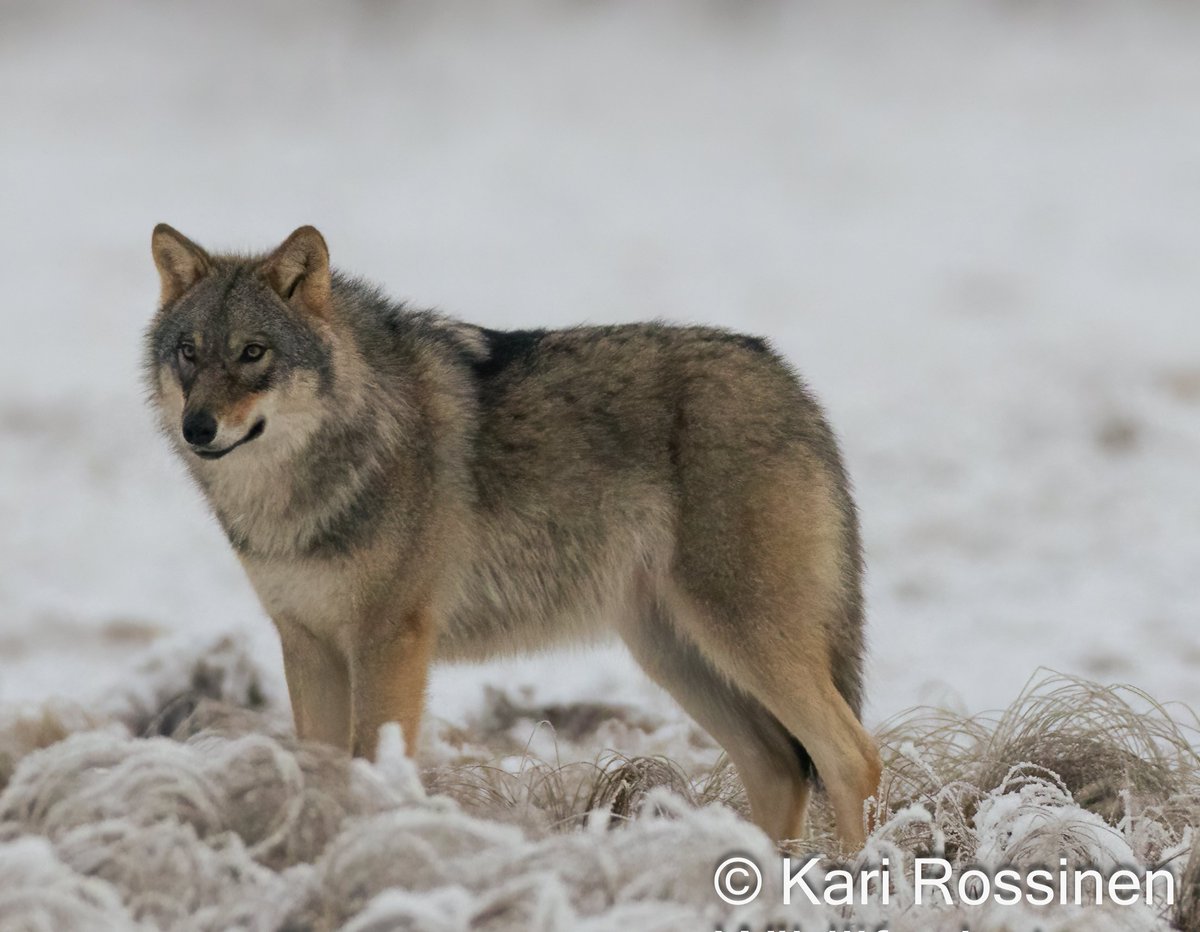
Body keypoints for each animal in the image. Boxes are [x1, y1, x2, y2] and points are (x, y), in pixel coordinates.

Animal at [147, 226, 883, 849]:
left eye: (253, 353)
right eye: (189, 353)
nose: (198, 427)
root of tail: (792, 385)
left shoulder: (390, 642)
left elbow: (373, 768)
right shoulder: (308, 645)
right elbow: (321, 771)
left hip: (743, 639)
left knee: (853, 758)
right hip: (676, 654)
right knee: (780, 768)